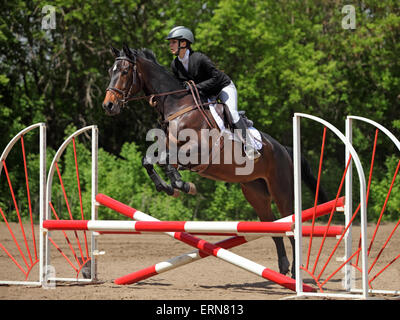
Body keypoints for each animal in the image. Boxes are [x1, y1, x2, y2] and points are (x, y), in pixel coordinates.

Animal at [101, 45, 328, 278]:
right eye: (110, 71)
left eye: (125, 72)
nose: (108, 105)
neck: (178, 107)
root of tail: (284, 149)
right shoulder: (169, 147)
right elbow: (148, 160)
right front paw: (170, 187)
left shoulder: (197, 151)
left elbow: (166, 160)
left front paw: (183, 185)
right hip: (255, 193)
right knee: (273, 227)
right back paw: (282, 270)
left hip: (281, 190)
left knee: (289, 226)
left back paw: (295, 275)